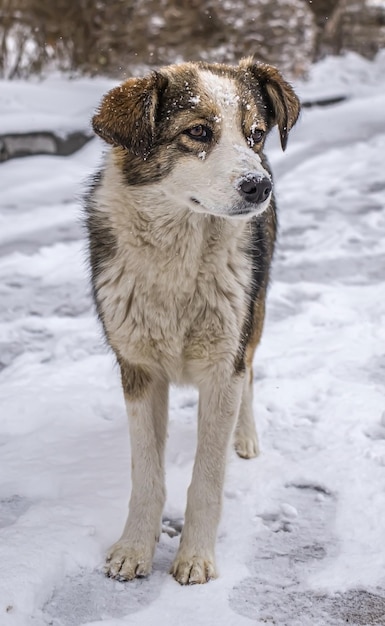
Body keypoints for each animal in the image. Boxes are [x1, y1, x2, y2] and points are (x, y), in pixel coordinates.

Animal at [85, 56, 298, 584]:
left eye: (255, 134)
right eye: (199, 131)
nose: (259, 186)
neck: (179, 256)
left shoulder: (224, 364)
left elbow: (207, 478)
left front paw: (196, 557)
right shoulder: (138, 369)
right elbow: (146, 474)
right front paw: (134, 549)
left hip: (252, 315)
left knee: (252, 373)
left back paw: (246, 437)